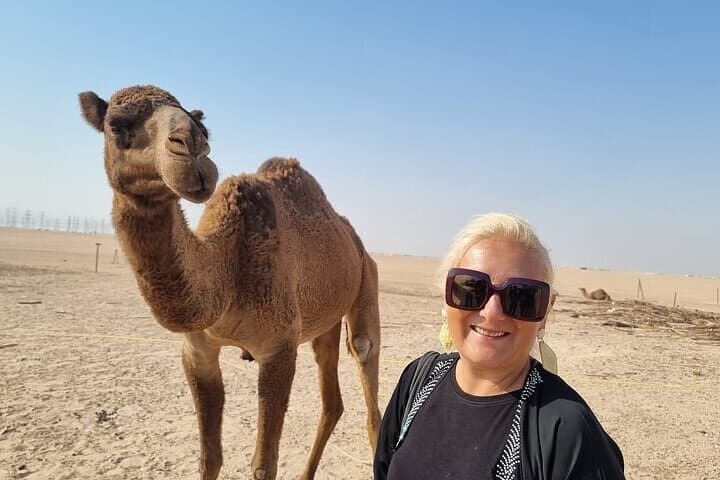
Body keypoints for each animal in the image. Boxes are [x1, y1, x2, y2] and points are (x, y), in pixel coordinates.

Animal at [78, 85, 381, 480]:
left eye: (203, 128)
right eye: (116, 126)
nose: (191, 147)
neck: (228, 272)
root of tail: (353, 238)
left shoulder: (279, 347)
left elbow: (264, 464)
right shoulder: (198, 352)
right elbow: (210, 457)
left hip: (367, 282)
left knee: (366, 369)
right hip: (324, 320)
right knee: (332, 402)